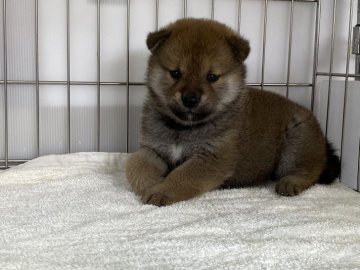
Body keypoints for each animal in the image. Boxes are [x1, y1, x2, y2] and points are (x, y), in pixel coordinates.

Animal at [124, 17, 340, 206]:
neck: (183, 128)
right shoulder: (152, 148)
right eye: (175, 73)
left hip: (297, 141)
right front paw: (151, 185)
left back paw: (291, 182)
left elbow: (182, 176)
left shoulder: (212, 157)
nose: (190, 99)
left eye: (212, 77)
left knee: (310, 170)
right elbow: (135, 165)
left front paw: (162, 190)